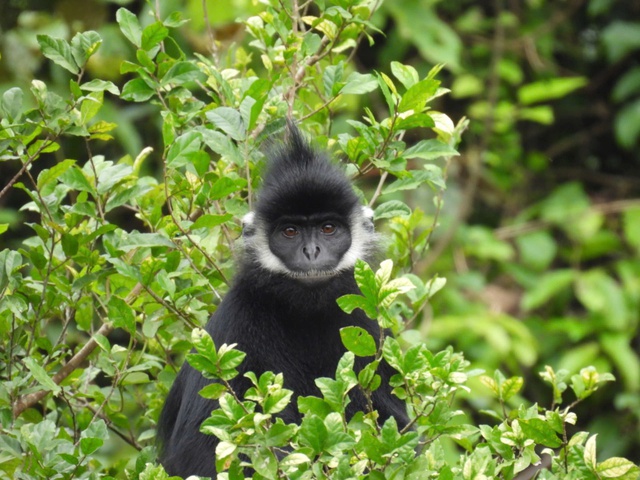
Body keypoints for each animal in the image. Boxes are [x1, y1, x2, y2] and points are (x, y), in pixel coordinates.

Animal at [159, 125, 410, 478]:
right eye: (290, 231)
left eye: (328, 228)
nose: (312, 251)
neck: (306, 313)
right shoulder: (233, 323)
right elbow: (198, 452)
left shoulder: (368, 325)